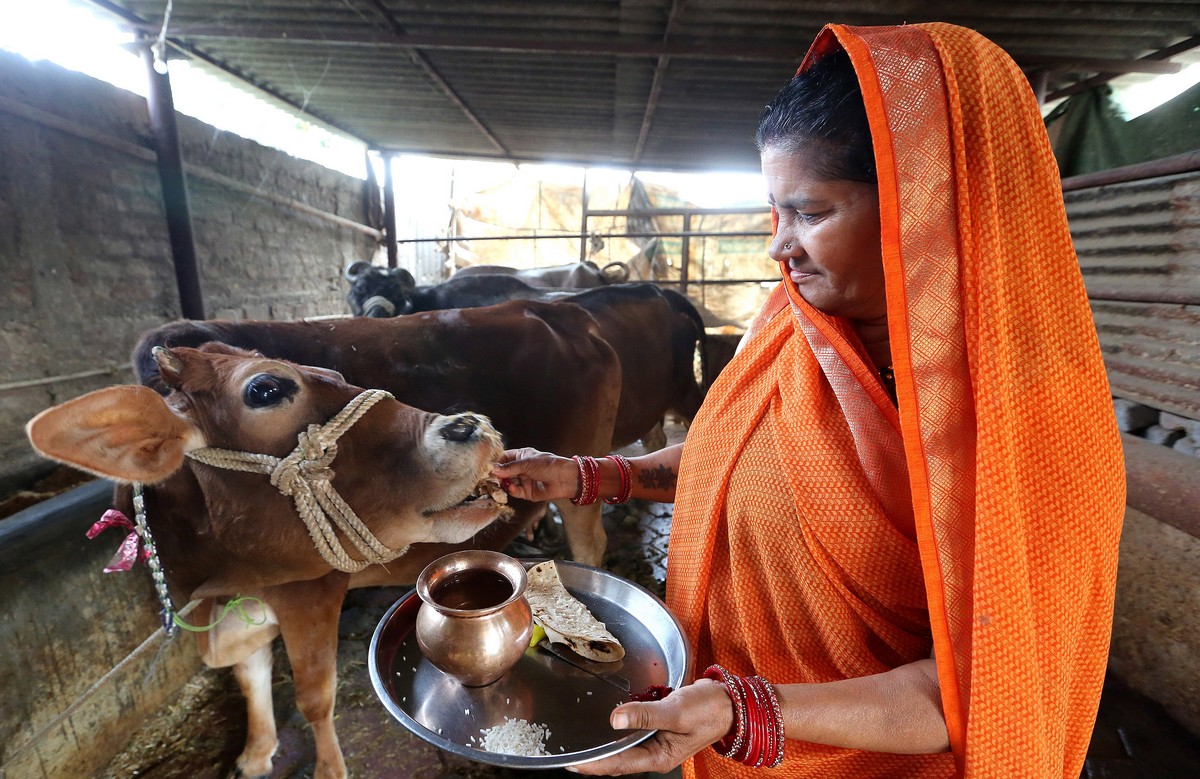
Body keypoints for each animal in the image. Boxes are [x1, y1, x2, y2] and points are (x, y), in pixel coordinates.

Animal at [24, 298, 624, 777]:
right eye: (266, 388)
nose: (468, 426)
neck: (214, 579)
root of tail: (561, 307)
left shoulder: (310, 590)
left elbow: (314, 697)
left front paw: (328, 768)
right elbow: (249, 675)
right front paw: (256, 753)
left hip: (583, 479)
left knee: (591, 544)